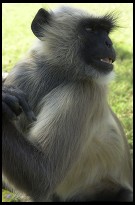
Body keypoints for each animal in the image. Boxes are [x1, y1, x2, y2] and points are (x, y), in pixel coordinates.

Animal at [2, 5, 133, 201]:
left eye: (105, 31)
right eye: (90, 29)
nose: (109, 43)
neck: (59, 74)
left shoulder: (83, 91)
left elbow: (43, 175)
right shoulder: (22, 76)